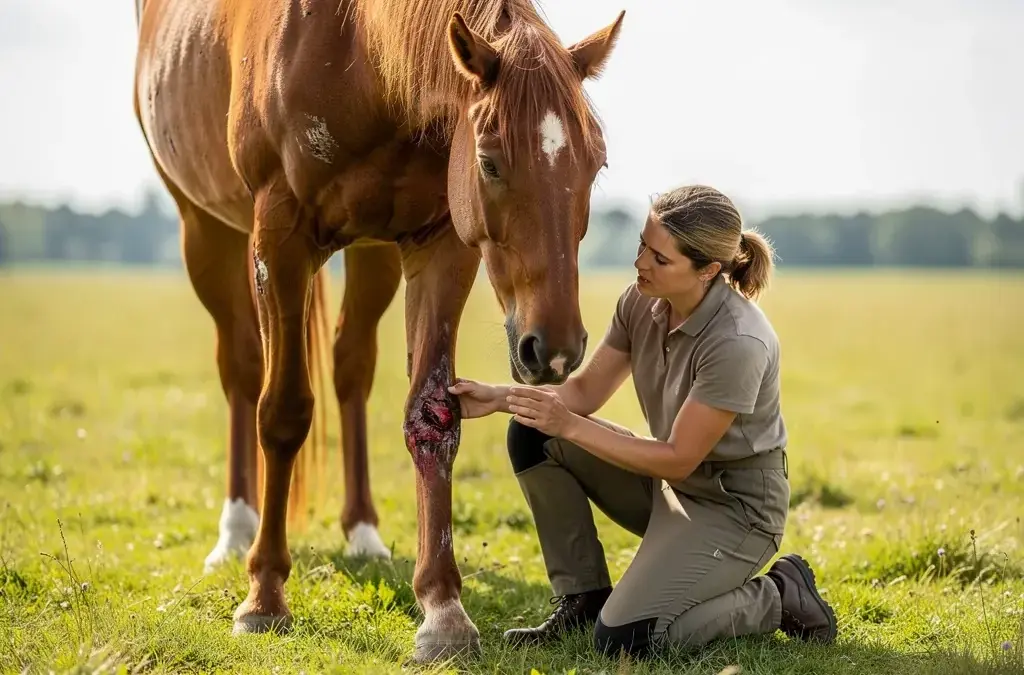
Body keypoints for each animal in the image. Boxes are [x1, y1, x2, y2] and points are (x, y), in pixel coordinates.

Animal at [133, 0, 623, 662]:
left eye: (595, 163)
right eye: (490, 162)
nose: (557, 350)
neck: (354, 50)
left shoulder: (441, 243)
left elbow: (433, 416)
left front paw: (443, 611)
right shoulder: (278, 239)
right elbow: (282, 412)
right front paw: (264, 598)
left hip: (372, 254)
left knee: (350, 366)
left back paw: (363, 532)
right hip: (203, 228)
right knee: (242, 369)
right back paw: (235, 531)